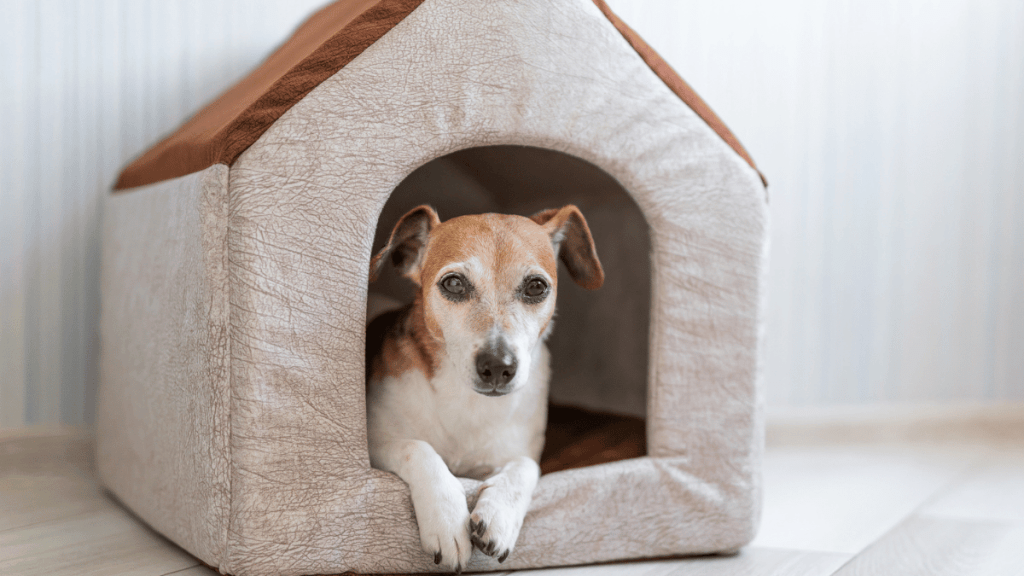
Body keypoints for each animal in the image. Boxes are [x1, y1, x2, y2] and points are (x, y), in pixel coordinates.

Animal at [366, 202, 598, 569]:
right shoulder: (376, 443)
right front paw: (446, 519)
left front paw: (500, 514)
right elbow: (418, 447)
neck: (468, 404)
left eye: (536, 287)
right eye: (453, 283)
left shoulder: (517, 453)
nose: (498, 366)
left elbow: (526, 466)